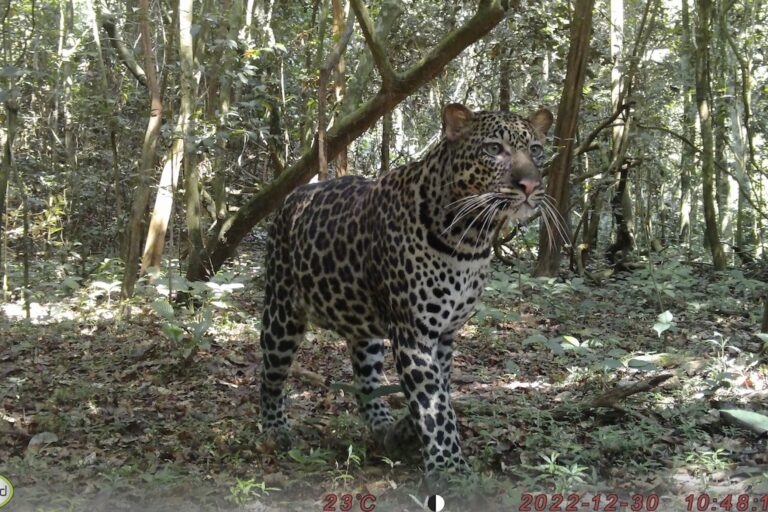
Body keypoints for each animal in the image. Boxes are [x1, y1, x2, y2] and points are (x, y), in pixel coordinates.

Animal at [258, 103, 552, 476]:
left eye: (536, 150)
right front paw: (450, 468)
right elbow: (435, 407)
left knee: (365, 380)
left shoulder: (444, 335)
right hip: (282, 312)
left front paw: (408, 430)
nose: (530, 185)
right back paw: (274, 429)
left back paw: (384, 428)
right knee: (270, 373)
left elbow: (438, 391)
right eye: (493, 149)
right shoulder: (414, 332)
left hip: (363, 326)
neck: (469, 239)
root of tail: (293, 196)